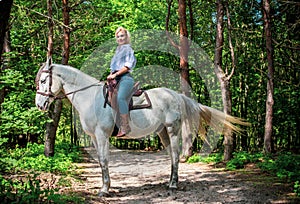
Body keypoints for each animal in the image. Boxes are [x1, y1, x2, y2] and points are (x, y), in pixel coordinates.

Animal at [35, 59, 247, 196]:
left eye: (44, 81)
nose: (39, 104)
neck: (90, 98)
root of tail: (176, 95)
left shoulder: (102, 135)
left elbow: (104, 160)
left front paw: (105, 189)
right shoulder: (95, 137)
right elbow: (101, 161)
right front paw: (104, 187)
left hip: (173, 129)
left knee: (176, 154)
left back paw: (173, 185)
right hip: (162, 132)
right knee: (171, 155)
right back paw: (170, 182)